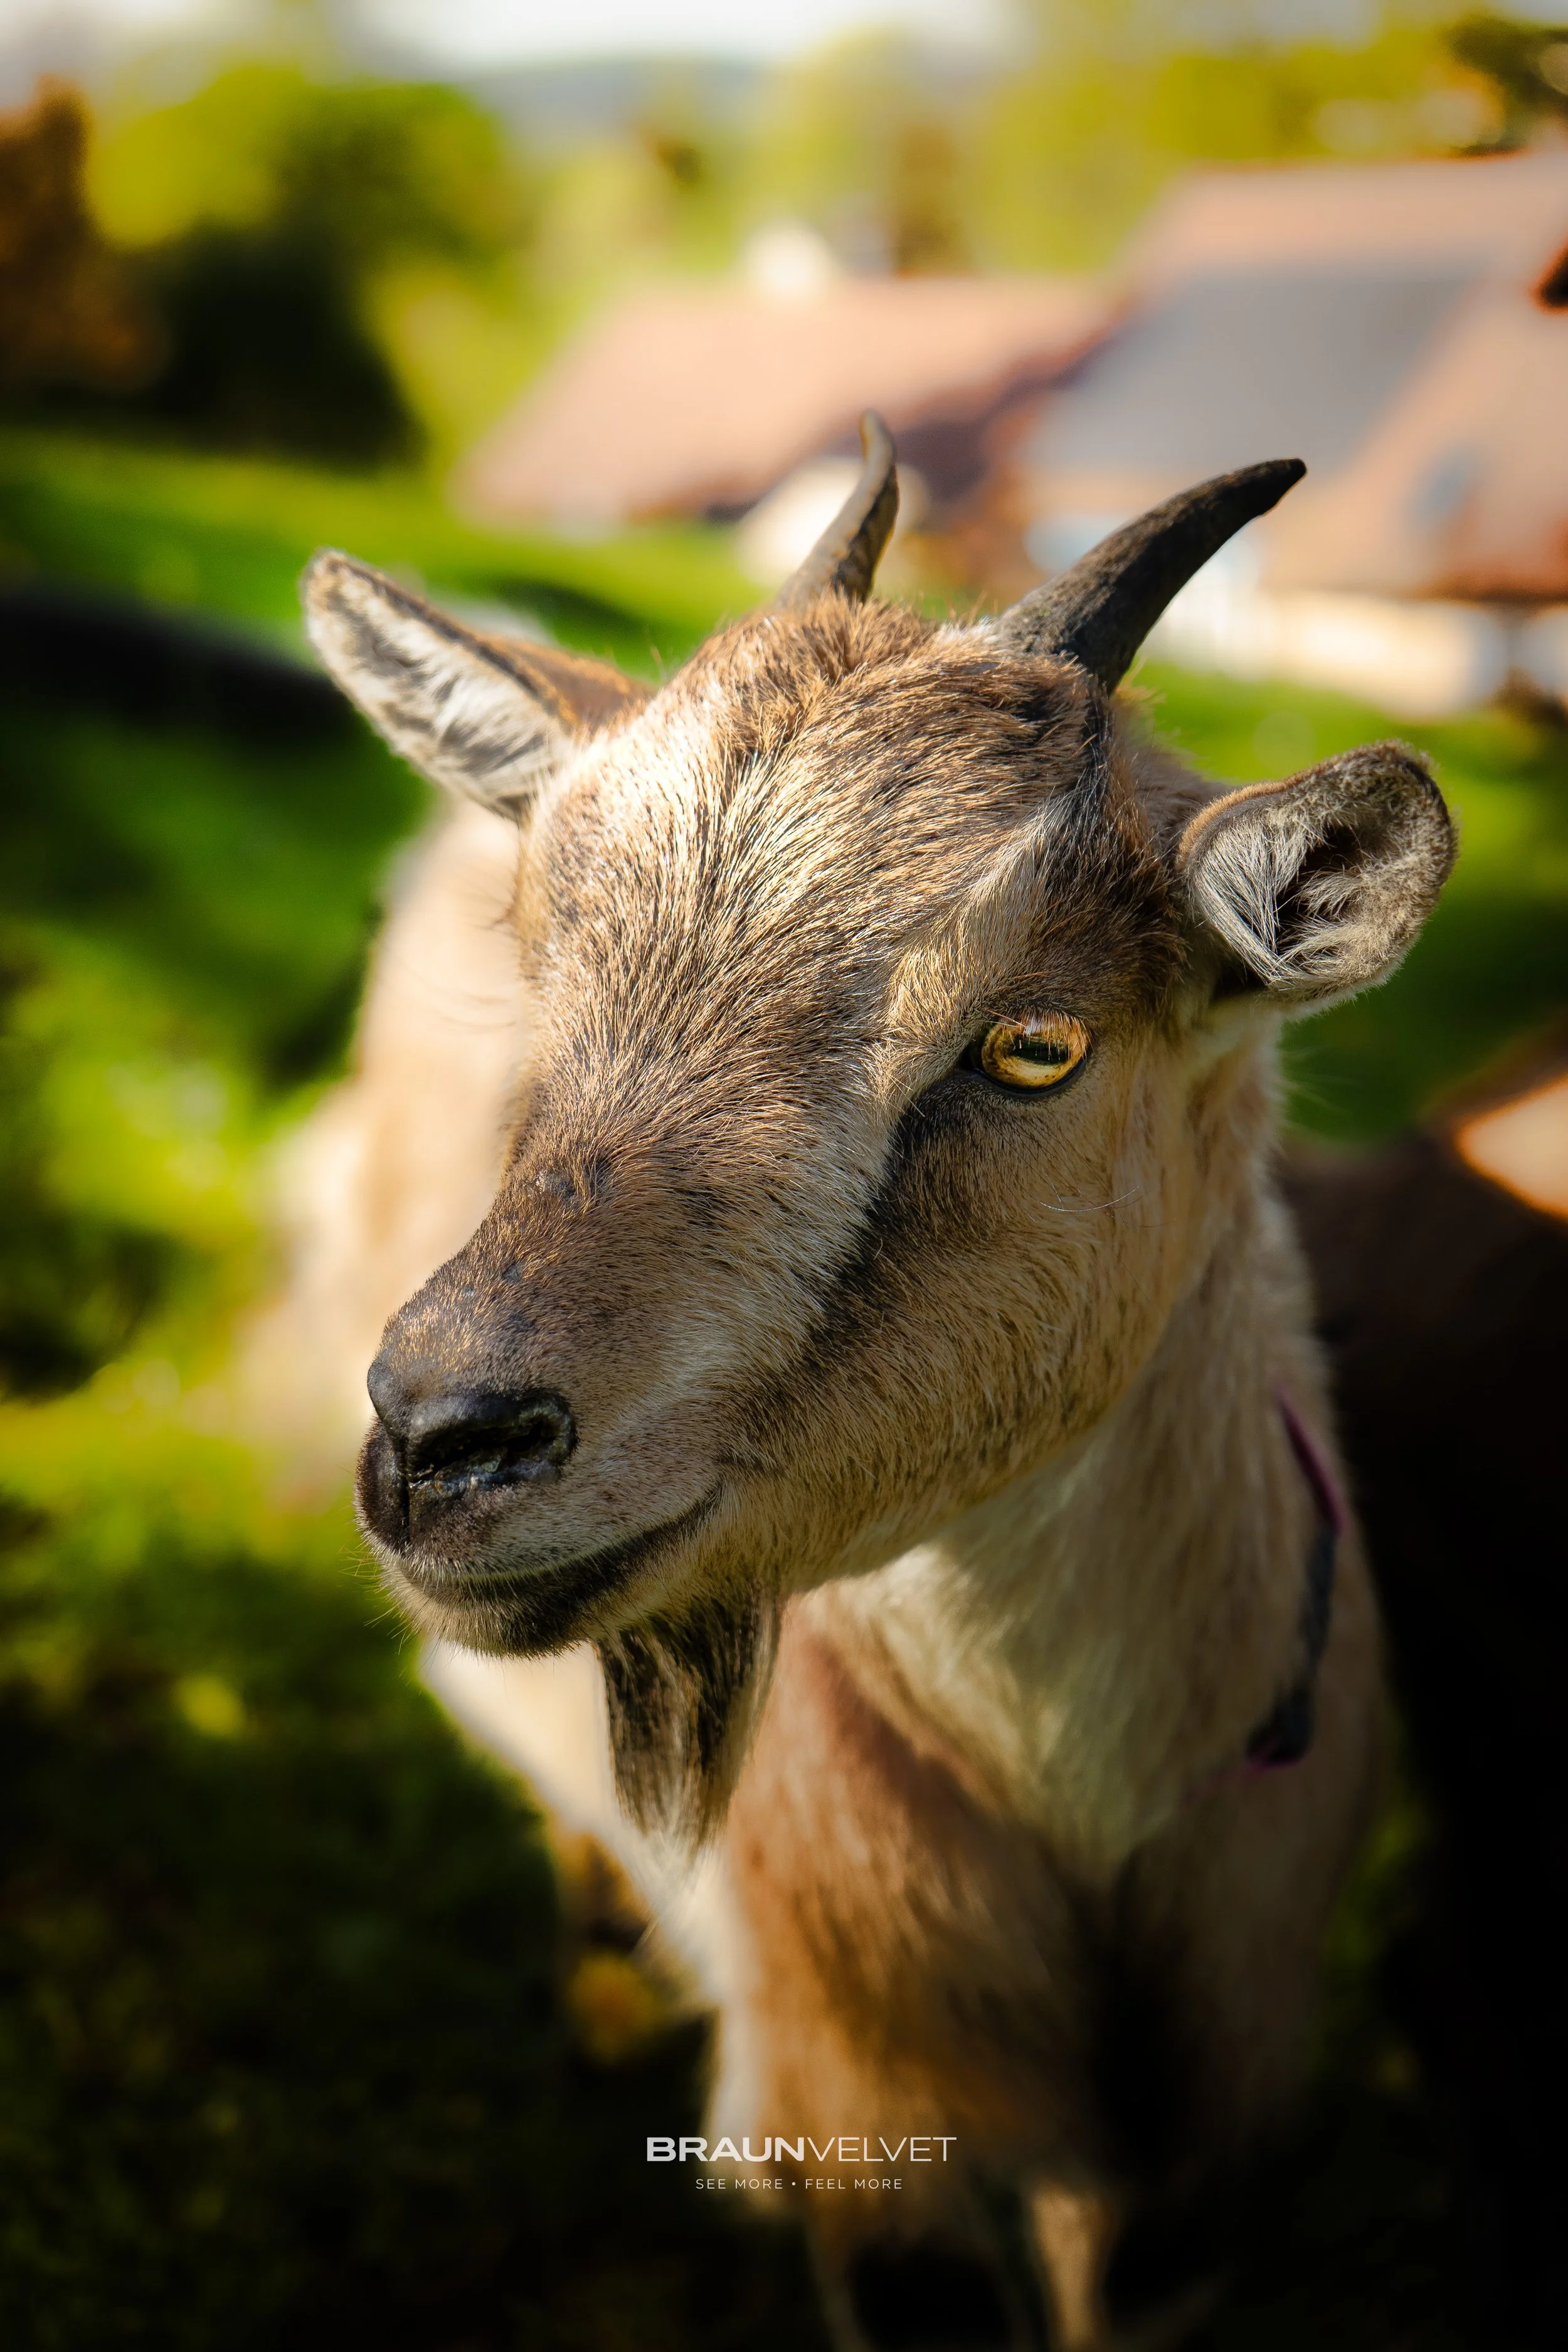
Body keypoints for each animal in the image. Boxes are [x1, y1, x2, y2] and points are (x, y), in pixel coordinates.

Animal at [291, 421, 1455, 2347]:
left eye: (1033, 1042)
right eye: (546, 968)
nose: (442, 1438)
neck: (1091, 1819)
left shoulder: (1202, 2161)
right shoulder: (872, 2121)